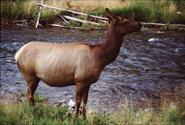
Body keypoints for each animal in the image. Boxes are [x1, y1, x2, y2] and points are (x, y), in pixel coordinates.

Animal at [14, 8, 142, 117]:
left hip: (34, 77)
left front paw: (84, 118)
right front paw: (76, 118)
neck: (101, 59)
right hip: (30, 75)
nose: (140, 24)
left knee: (28, 94)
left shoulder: (88, 82)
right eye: (124, 20)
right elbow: (78, 102)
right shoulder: (80, 80)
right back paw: (34, 111)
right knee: (30, 95)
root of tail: (17, 54)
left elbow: (85, 101)